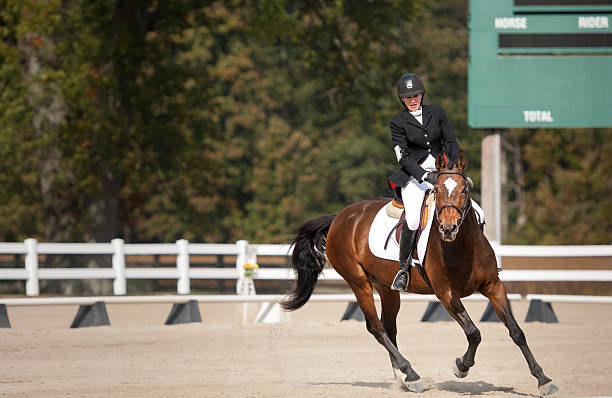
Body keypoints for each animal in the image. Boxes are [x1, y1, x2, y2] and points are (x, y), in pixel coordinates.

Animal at [280, 151, 556, 396]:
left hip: (387, 288)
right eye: (438, 190)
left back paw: (403, 378)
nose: (447, 229)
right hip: (358, 282)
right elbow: (474, 333)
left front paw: (543, 380)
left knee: (389, 327)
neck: (462, 245)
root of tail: (340, 217)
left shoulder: (494, 286)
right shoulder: (446, 294)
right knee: (376, 327)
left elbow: (517, 332)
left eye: (464, 190)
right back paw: (411, 374)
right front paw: (461, 367)